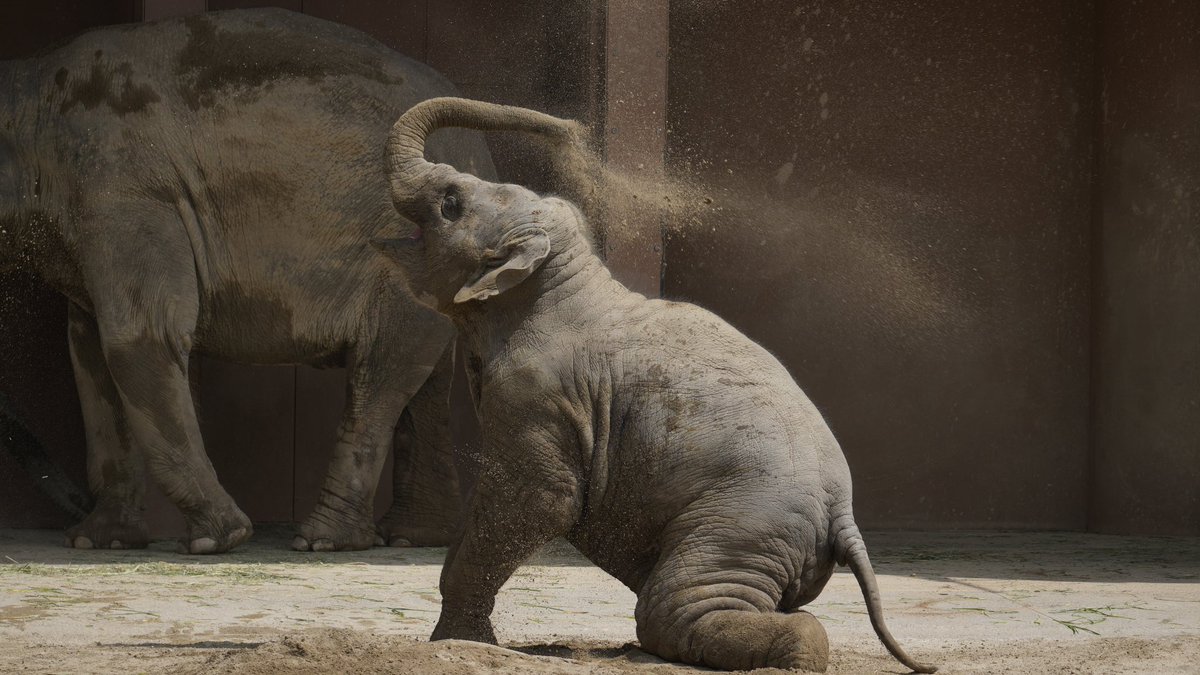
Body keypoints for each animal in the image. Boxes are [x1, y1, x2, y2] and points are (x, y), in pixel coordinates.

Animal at [2, 9, 492, 552]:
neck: (30, 94)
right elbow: (88, 355)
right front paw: (99, 542)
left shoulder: (124, 189)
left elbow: (141, 338)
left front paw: (220, 541)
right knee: (427, 379)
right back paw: (413, 538)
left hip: (401, 257)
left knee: (381, 374)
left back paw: (322, 542)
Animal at [379, 97, 940, 667]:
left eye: (450, 203)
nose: (570, 128)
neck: (560, 278)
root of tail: (844, 517)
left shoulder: (542, 395)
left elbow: (540, 497)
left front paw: (457, 644)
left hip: (743, 524)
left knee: (674, 610)